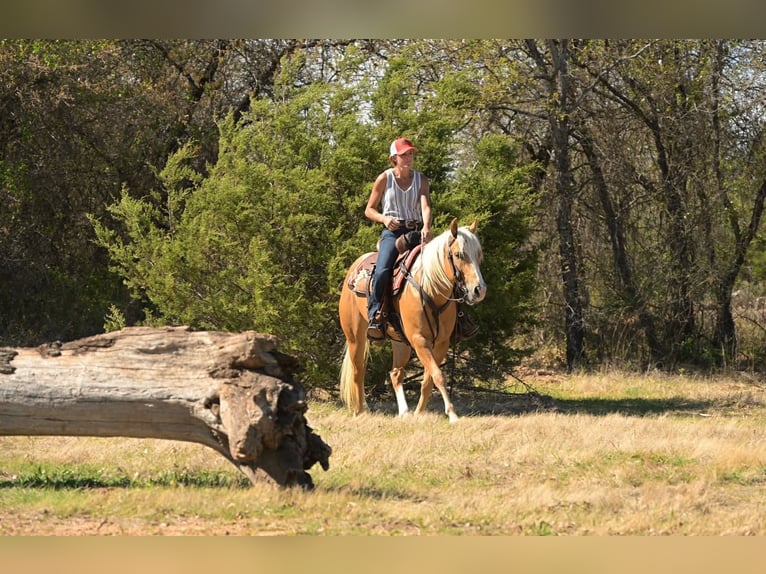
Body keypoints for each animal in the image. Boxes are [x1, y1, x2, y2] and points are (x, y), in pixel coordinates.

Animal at [338, 218, 487, 423]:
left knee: (395, 374)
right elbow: (438, 375)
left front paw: (419, 413)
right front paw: (452, 414)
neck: (429, 287)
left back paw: (404, 412)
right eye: (458, 254)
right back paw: (360, 411)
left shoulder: (440, 344)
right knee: (358, 371)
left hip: (400, 341)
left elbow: (429, 380)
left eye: (479, 255)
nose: (480, 290)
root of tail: (355, 268)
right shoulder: (420, 340)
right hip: (355, 336)